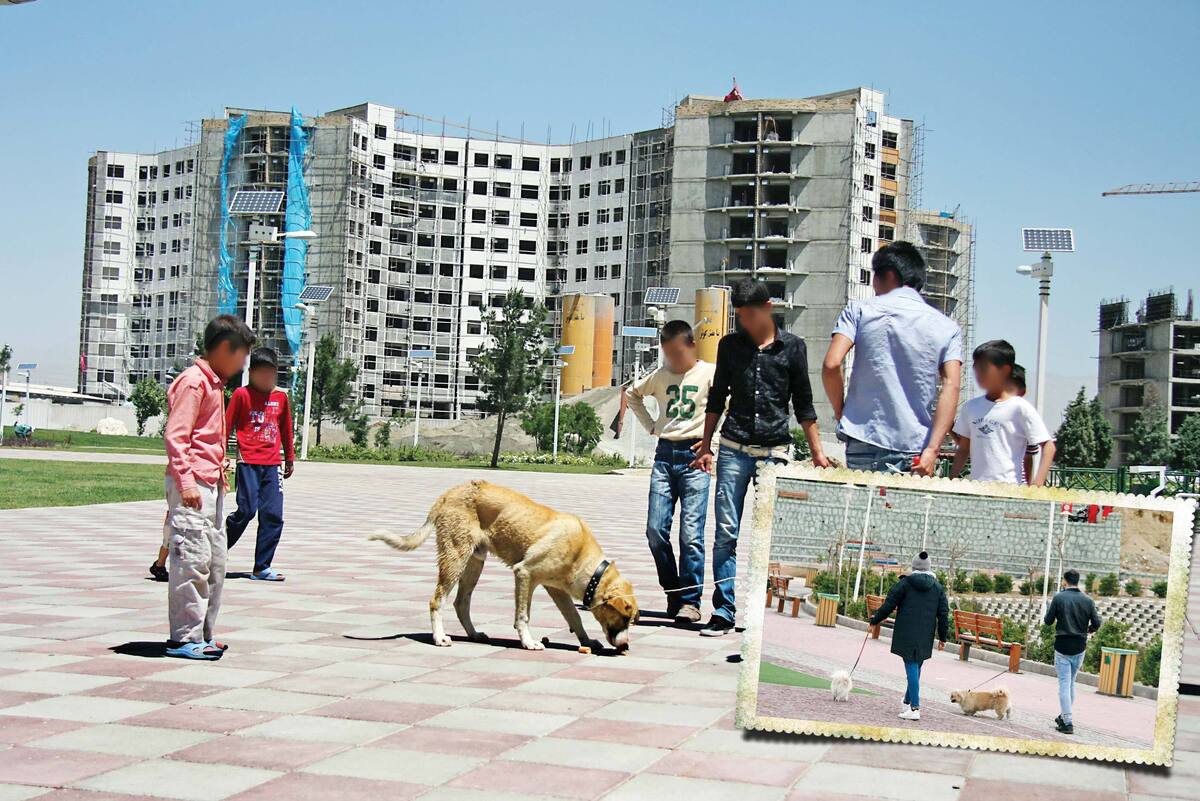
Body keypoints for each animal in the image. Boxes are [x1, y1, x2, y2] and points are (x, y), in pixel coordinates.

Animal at [372, 479, 638, 652]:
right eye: (625, 618)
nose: (625, 646)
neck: (585, 561)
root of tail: (449, 492)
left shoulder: (556, 589)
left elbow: (574, 616)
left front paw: (586, 641)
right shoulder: (524, 573)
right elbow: (523, 615)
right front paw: (528, 642)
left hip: (474, 563)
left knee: (461, 603)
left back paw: (474, 634)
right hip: (456, 556)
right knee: (437, 600)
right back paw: (439, 637)